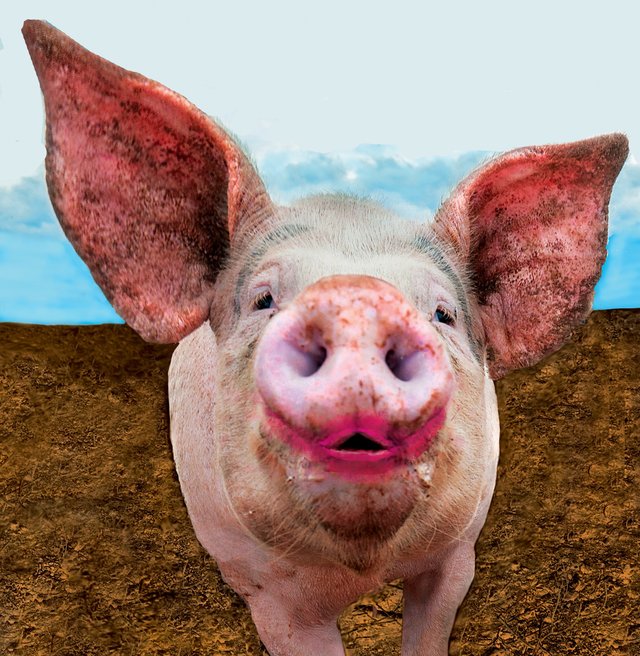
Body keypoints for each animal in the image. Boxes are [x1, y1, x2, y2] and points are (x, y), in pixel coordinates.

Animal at [22, 19, 627, 656]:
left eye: (443, 313)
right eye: (263, 300)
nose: (355, 299)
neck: (363, 566)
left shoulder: (459, 550)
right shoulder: (268, 592)